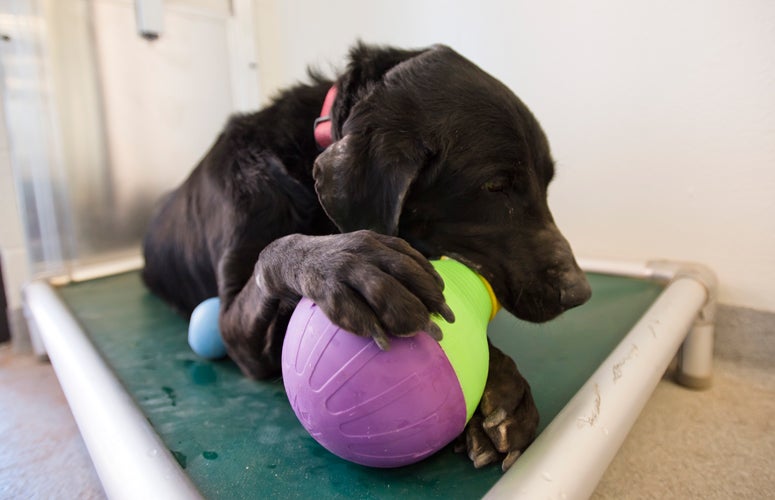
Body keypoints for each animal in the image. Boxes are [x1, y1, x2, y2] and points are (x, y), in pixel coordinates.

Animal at [144, 42, 596, 468]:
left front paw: (504, 387)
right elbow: (274, 251)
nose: (580, 292)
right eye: (496, 186)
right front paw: (346, 263)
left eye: (547, 182)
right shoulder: (234, 332)